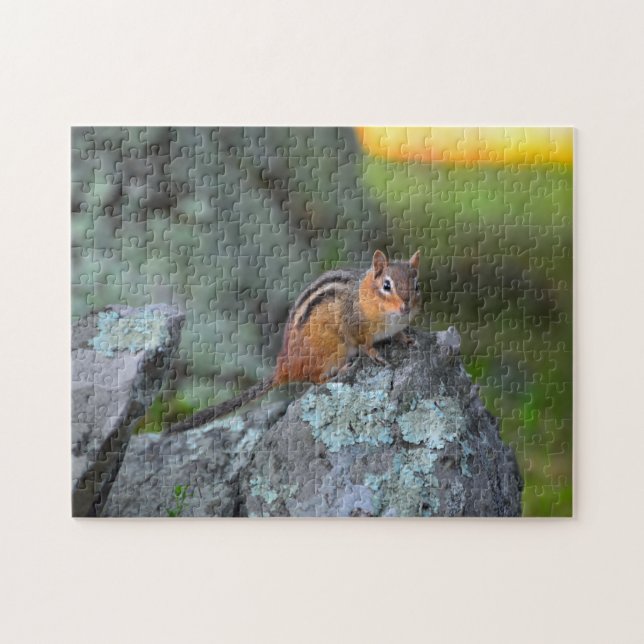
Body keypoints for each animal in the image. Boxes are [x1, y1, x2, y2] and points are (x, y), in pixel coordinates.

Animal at [168, 249, 421, 433]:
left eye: (417, 285)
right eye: (386, 285)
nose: (406, 307)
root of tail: (284, 366)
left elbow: (398, 334)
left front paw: (405, 337)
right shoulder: (352, 325)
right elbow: (364, 343)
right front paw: (374, 354)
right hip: (334, 350)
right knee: (315, 379)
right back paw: (341, 371)